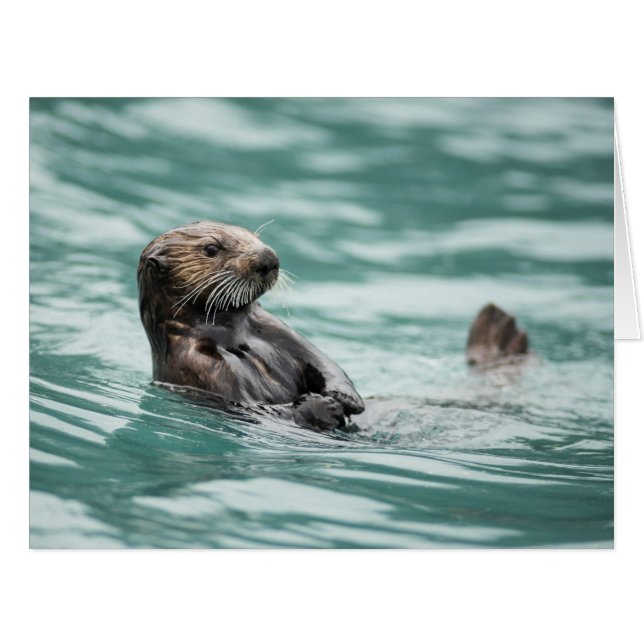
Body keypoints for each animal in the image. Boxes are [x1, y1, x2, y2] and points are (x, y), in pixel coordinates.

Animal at [138, 221, 528, 432]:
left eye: (252, 234)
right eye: (211, 248)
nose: (268, 258)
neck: (233, 335)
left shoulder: (275, 328)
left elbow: (324, 362)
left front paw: (345, 397)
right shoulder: (199, 366)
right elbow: (257, 408)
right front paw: (323, 408)